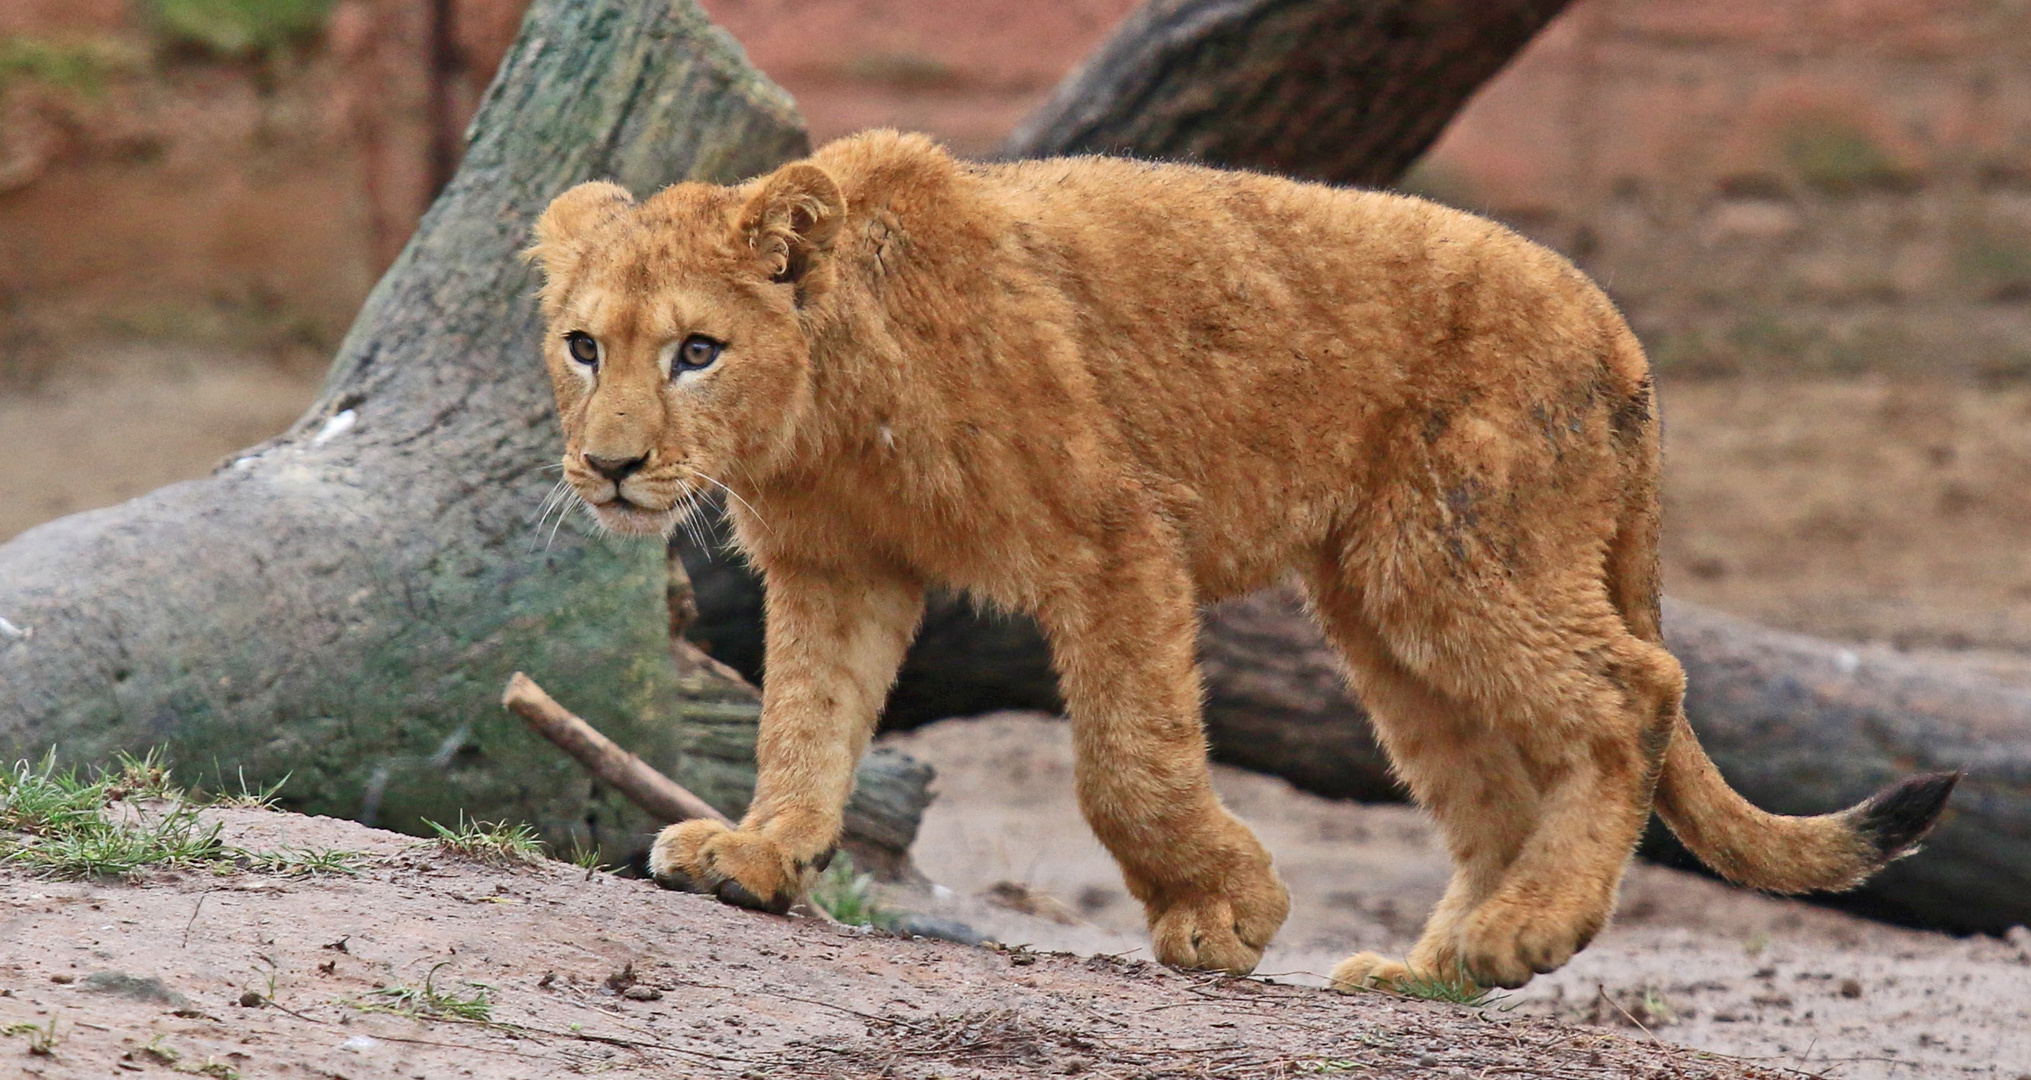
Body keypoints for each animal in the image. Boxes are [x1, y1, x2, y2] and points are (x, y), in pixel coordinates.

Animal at [532, 130, 1957, 990]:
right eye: (584, 346)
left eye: (697, 351)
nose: (610, 467)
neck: (823, 411)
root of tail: (1620, 331)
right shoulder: (839, 569)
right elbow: (803, 725)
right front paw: (760, 856)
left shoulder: (1114, 539)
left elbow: (1127, 762)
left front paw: (1224, 912)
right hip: (1384, 608)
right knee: (1497, 792)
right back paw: (1435, 972)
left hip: (1458, 553)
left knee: (1637, 688)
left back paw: (1531, 927)